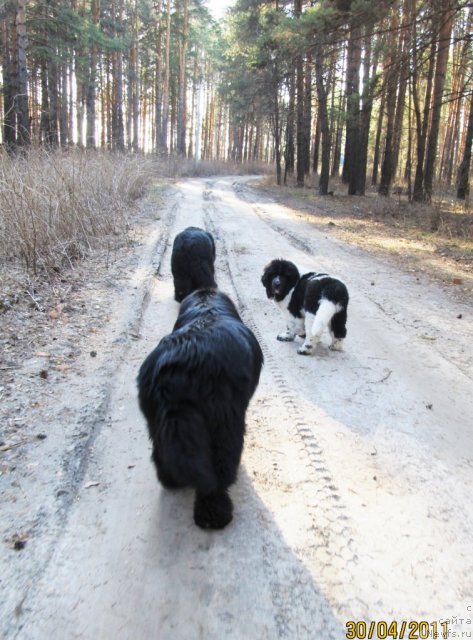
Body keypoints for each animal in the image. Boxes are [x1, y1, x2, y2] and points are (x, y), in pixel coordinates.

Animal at [136, 288, 262, 528]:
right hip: (224, 426)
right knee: (219, 471)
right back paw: (214, 515)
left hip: (156, 420)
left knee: (161, 455)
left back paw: (172, 481)